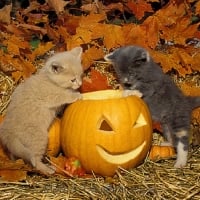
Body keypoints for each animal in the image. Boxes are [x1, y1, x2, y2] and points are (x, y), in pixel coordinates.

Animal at [0, 46, 83, 174]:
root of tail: (8, 134)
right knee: (35, 160)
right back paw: (48, 169)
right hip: (40, 138)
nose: (80, 84)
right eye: (72, 80)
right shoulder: (52, 96)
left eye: (80, 75)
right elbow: (65, 96)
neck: (49, 81)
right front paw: (76, 95)